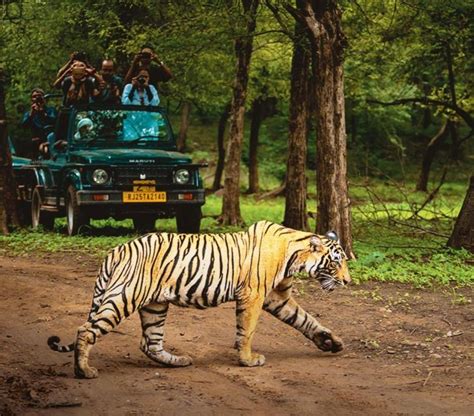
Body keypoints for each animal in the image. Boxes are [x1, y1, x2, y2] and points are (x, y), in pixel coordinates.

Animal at [48, 221, 350, 376]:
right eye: (336, 262)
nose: (347, 281)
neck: (294, 255)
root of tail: (117, 250)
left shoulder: (276, 297)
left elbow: (306, 320)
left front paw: (331, 342)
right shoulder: (253, 295)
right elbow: (247, 330)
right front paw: (248, 360)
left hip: (155, 305)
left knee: (150, 343)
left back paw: (178, 361)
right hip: (124, 296)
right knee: (86, 330)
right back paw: (84, 370)